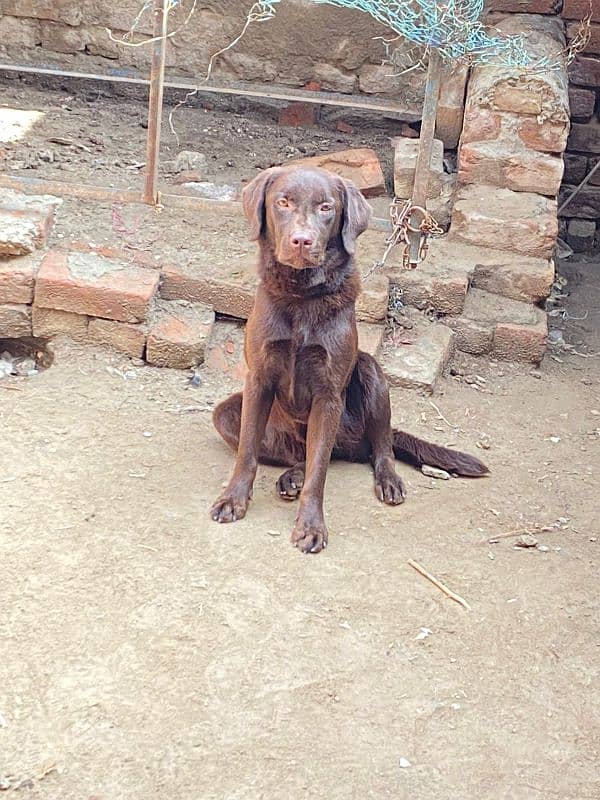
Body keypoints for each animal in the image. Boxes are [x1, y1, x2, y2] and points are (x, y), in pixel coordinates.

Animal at [211, 166, 488, 552]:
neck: (302, 296)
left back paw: (387, 480)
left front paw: (311, 526)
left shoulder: (329, 394)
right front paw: (233, 500)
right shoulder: (259, 379)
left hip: (370, 373)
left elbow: (320, 472)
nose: (302, 241)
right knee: (307, 454)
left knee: (372, 447)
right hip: (226, 416)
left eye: (326, 207)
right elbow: (247, 452)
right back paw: (292, 476)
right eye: (283, 203)